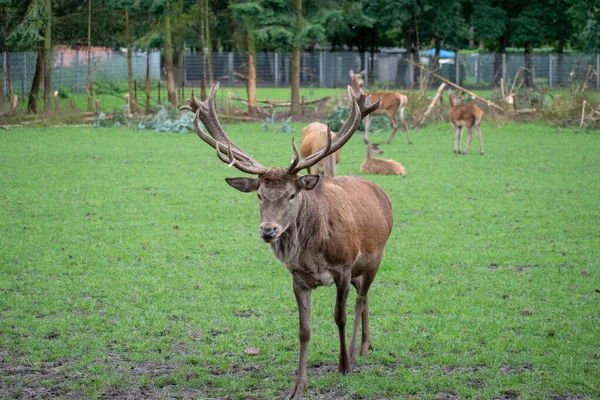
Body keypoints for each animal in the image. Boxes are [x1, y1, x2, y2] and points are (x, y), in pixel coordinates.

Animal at [180, 83, 396, 398]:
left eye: (292, 195)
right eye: (259, 195)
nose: (268, 230)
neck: (313, 253)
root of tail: (382, 193)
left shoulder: (343, 267)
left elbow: (339, 317)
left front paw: (343, 365)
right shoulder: (298, 277)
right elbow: (303, 330)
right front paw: (298, 385)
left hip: (374, 259)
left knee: (362, 298)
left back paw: (357, 351)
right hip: (360, 270)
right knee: (364, 297)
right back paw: (366, 346)